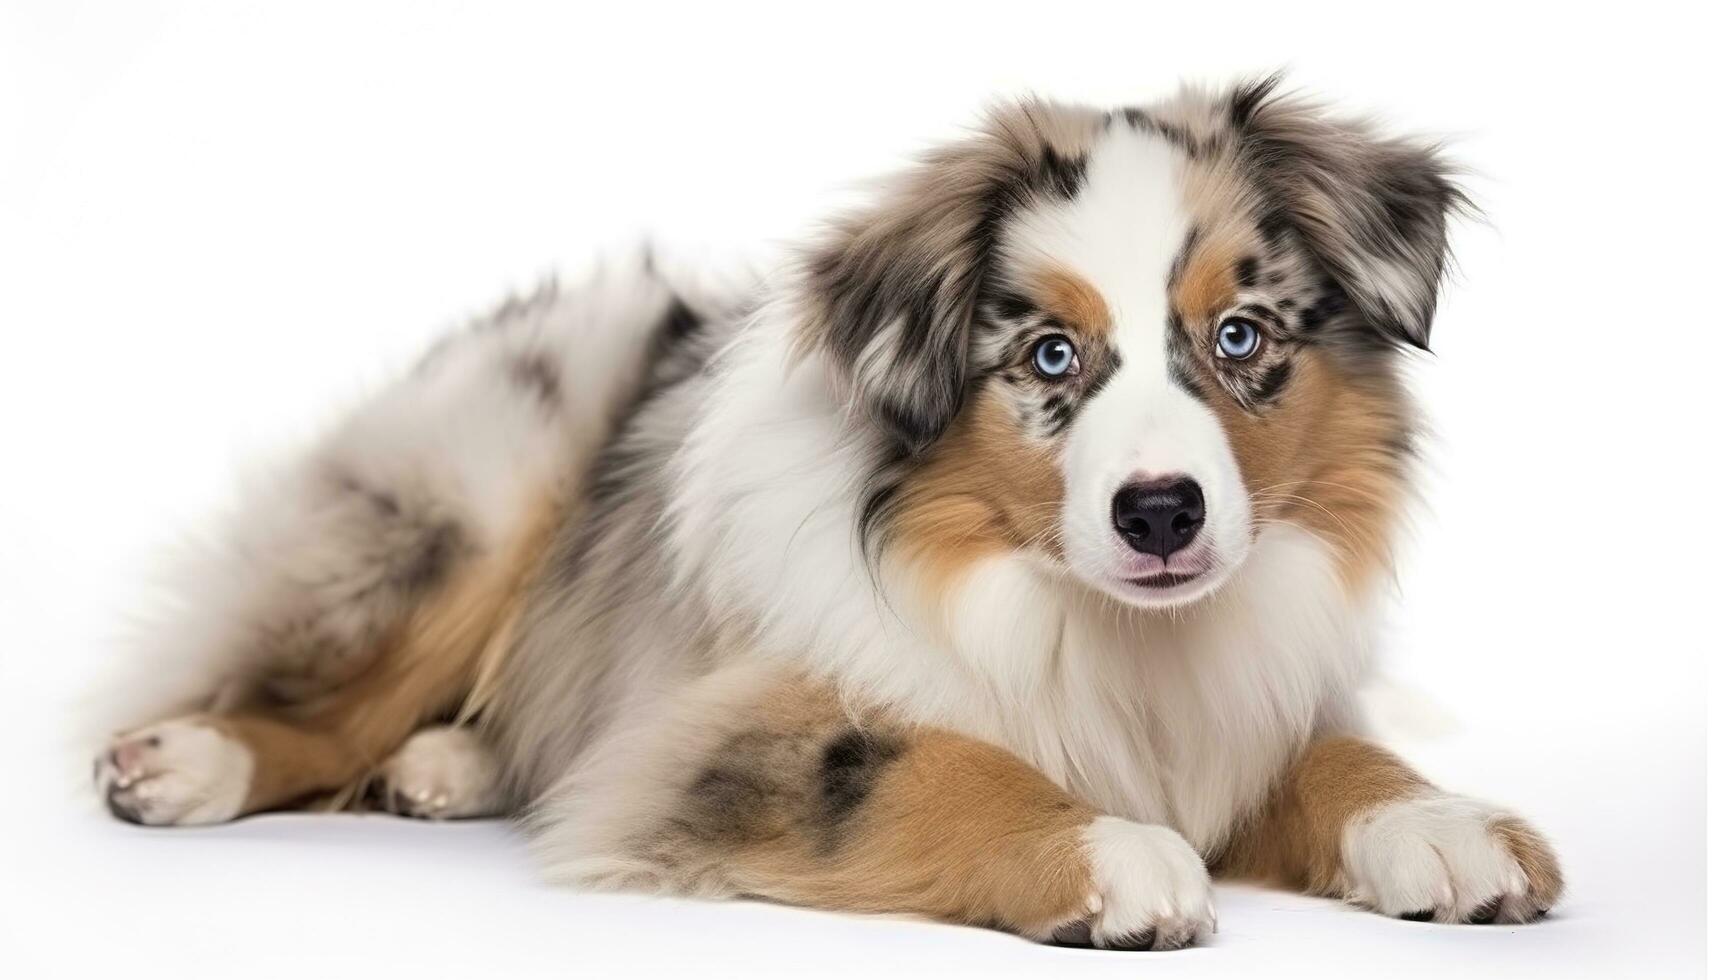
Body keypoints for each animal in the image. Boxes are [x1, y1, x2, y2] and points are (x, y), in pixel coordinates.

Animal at [97, 80, 1570, 954]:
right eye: (1047, 356)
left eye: (1238, 335)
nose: (1159, 512)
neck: (1097, 626)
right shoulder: (726, 736)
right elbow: (935, 763)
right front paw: (1106, 851)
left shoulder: (1246, 695)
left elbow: (1337, 756)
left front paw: (1440, 824)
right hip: (494, 471)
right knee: (316, 684)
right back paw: (190, 761)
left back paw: (452, 764)